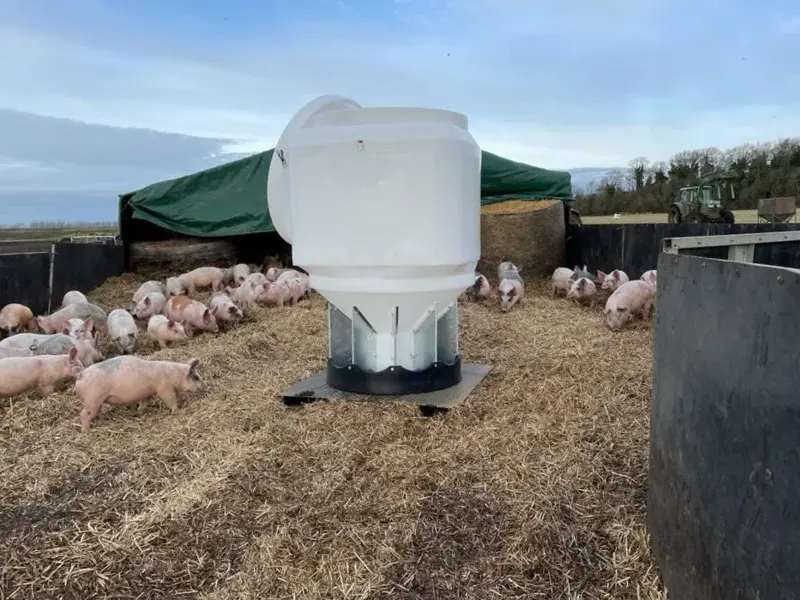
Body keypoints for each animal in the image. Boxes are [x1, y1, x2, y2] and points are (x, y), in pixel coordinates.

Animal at [74, 356, 204, 433]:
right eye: (196, 377)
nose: (204, 386)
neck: (174, 376)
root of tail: (81, 375)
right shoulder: (164, 388)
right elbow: (171, 399)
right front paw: (176, 410)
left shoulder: (146, 393)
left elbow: (144, 402)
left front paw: (140, 411)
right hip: (92, 398)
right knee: (83, 414)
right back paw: (85, 432)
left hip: (97, 400)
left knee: (97, 411)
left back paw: (102, 419)